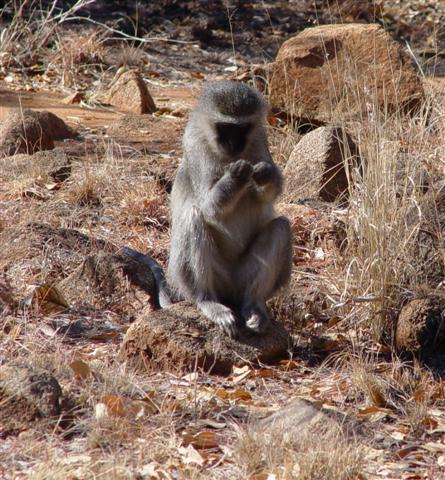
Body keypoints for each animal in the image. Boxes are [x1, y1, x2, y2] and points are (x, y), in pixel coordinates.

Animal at [166, 79, 292, 338]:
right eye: (225, 127)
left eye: (242, 128)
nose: (234, 144)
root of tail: (229, 293)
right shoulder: (194, 143)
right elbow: (209, 207)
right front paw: (236, 175)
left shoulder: (259, 137)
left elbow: (266, 196)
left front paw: (264, 174)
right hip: (212, 277)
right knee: (194, 216)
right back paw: (208, 301)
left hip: (241, 279)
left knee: (281, 227)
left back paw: (253, 306)